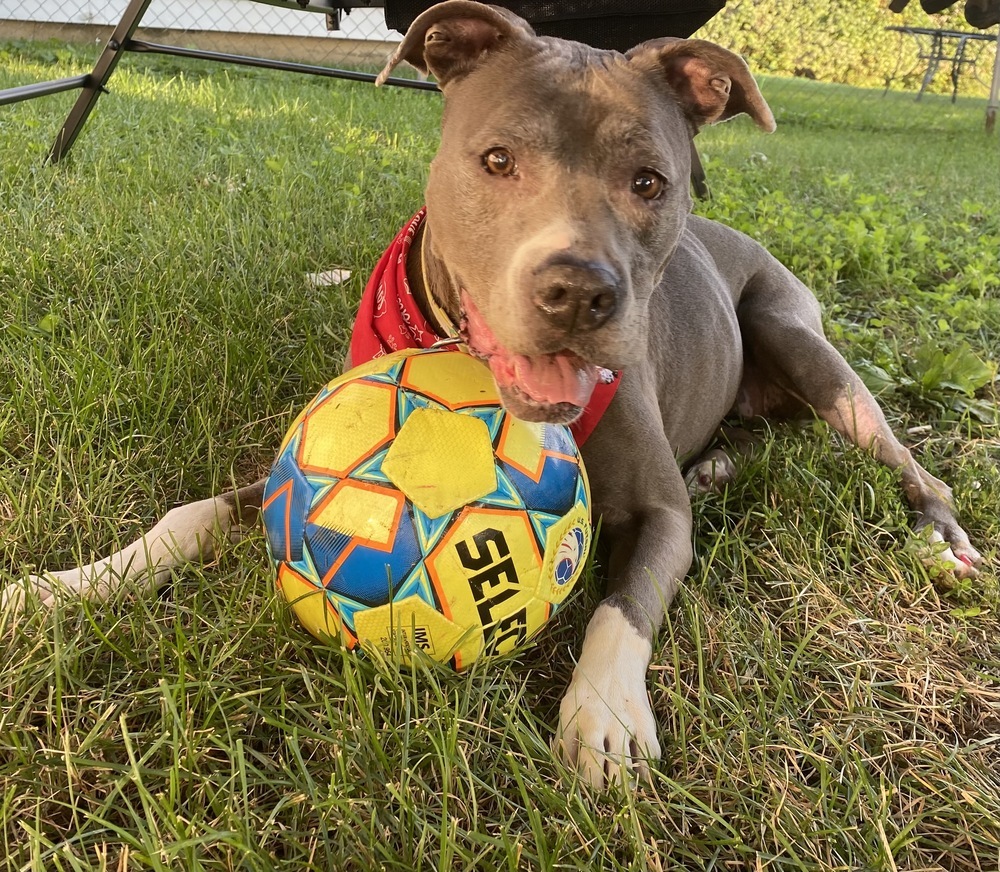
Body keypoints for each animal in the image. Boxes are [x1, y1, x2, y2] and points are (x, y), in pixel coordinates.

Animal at [5, 0, 976, 792]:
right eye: (497, 160)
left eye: (649, 182)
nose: (578, 291)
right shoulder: (287, 473)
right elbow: (190, 513)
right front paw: (65, 586)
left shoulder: (658, 514)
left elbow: (622, 607)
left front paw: (606, 716)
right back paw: (721, 467)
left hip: (800, 341)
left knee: (905, 458)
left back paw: (936, 533)